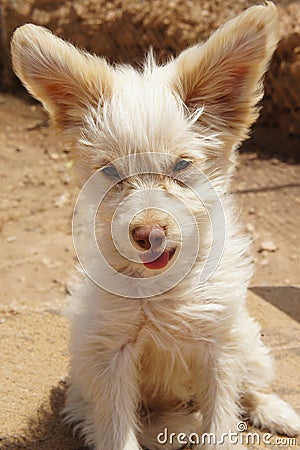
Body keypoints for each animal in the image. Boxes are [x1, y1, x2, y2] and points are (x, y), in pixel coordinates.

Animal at [11, 3, 300, 450]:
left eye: (181, 165)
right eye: (112, 172)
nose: (148, 234)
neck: (166, 290)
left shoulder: (220, 349)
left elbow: (222, 420)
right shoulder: (109, 356)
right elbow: (119, 431)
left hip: (247, 340)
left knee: (251, 388)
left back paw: (278, 412)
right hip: (82, 384)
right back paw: (179, 425)